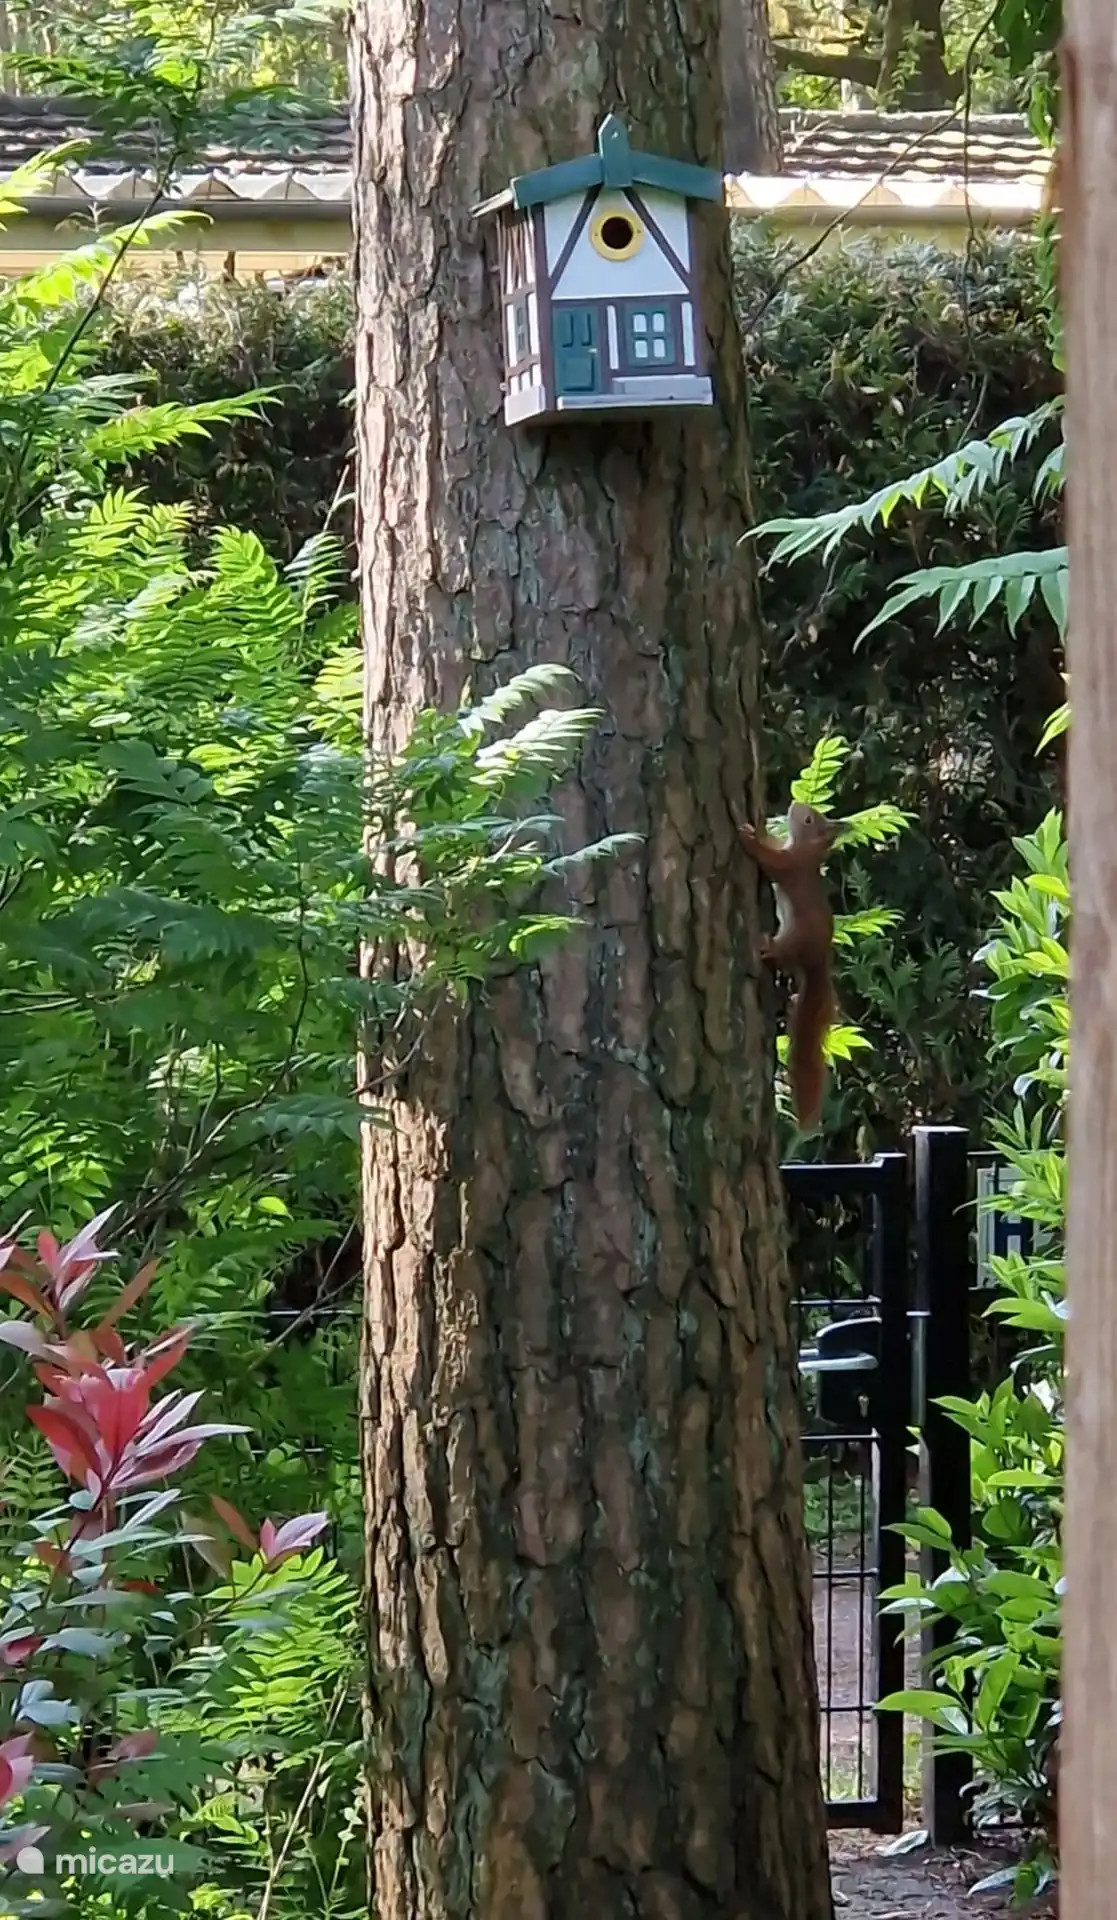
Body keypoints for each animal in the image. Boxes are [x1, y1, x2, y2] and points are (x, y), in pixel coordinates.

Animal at [739, 800, 844, 1132]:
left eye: (809, 820)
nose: (795, 804)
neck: (804, 852)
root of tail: (816, 961)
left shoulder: (789, 866)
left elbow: (770, 860)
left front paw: (749, 837)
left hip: (794, 940)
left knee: (780, 957)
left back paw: (766, 949)